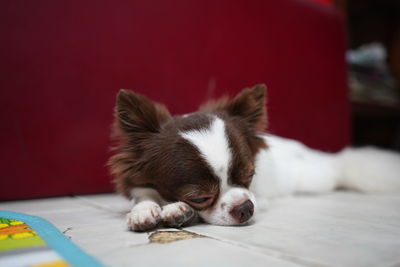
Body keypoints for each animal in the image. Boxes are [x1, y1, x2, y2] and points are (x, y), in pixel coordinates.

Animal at [108, 85, 400, 232]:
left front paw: (175, 211)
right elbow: (144, 195)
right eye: (200, 197)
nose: (246, 207)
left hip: (316, 178)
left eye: (250, 176)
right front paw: (145, 210)